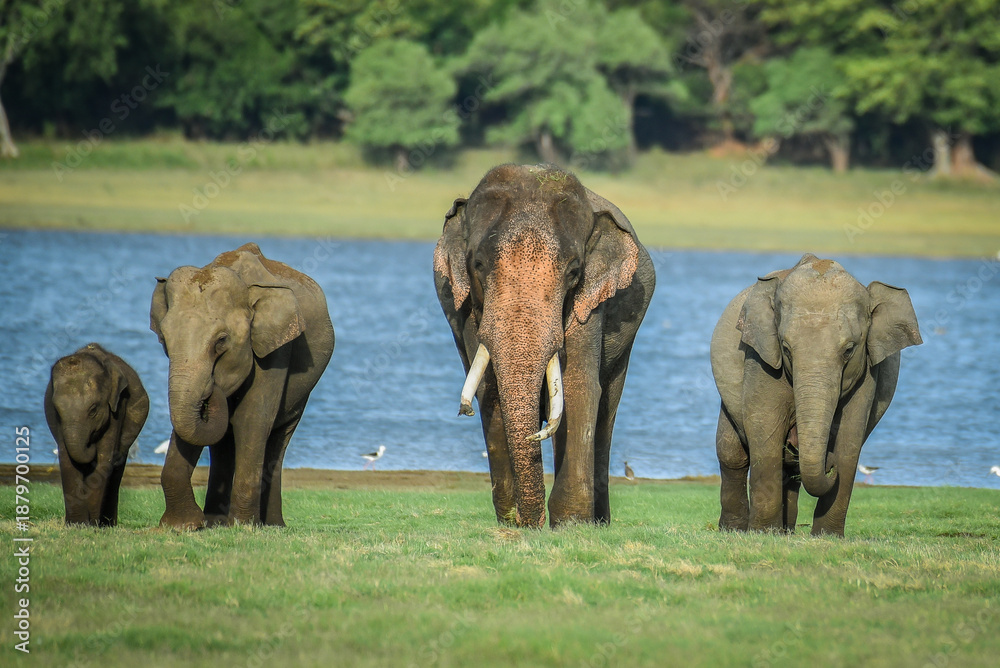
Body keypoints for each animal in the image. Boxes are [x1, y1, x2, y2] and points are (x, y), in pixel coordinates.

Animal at [44, 343, 149, 526]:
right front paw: (77, 525)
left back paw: (107, 524)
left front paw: (92, 525)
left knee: (116, 472)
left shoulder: (118, 407)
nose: (90, 443)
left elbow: (104, 458)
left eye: (93, 410)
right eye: (57, 410)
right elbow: (67, 460)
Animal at [150, 242, 334, 530]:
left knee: (277, 438)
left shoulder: (276, 348)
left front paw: (243, 526)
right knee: (222, 442)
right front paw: (183, 525)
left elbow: (252, 419)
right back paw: (216, 521)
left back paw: (270, 525)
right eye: (164, 340)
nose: (214, 389)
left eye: (221, 340)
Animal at [433, 164, 655, 528]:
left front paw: (570, 525)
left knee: (607, 410)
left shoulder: (590, 303)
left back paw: (600, 522)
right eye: (477, 265)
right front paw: (513, 522)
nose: (532, 524)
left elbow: (578, 387)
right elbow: (490, 390)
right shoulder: (460, 304)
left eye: (574, 271)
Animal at [710, 253, 922, 536]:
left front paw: (827, 537)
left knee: (788, 469)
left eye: (849, 350)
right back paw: (734, 530)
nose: (828, 464)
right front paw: (762, 534)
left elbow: (850, 438)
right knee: (733, 455)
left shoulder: (868, 372)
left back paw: (786, 532)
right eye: (786, 348)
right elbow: (764, 427)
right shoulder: (761, 358)